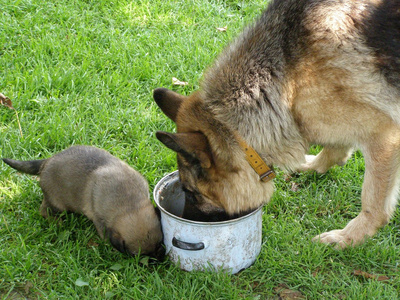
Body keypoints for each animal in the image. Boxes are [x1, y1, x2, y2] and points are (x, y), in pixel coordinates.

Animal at [3, 145, 163, 258]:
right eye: (137, 256)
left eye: (160, 244)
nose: (157, 260)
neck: (129, 204)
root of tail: (46, 161)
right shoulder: (100, 220)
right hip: (56, 203)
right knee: (44, 210)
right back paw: (57, 222)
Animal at [155, 0, 400, 248]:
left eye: (191, 193)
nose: (182, 220)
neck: (287, 79)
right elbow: (335, 147)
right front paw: (312, 165)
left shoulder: (384, 135)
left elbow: (373, 202)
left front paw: (347, 237)